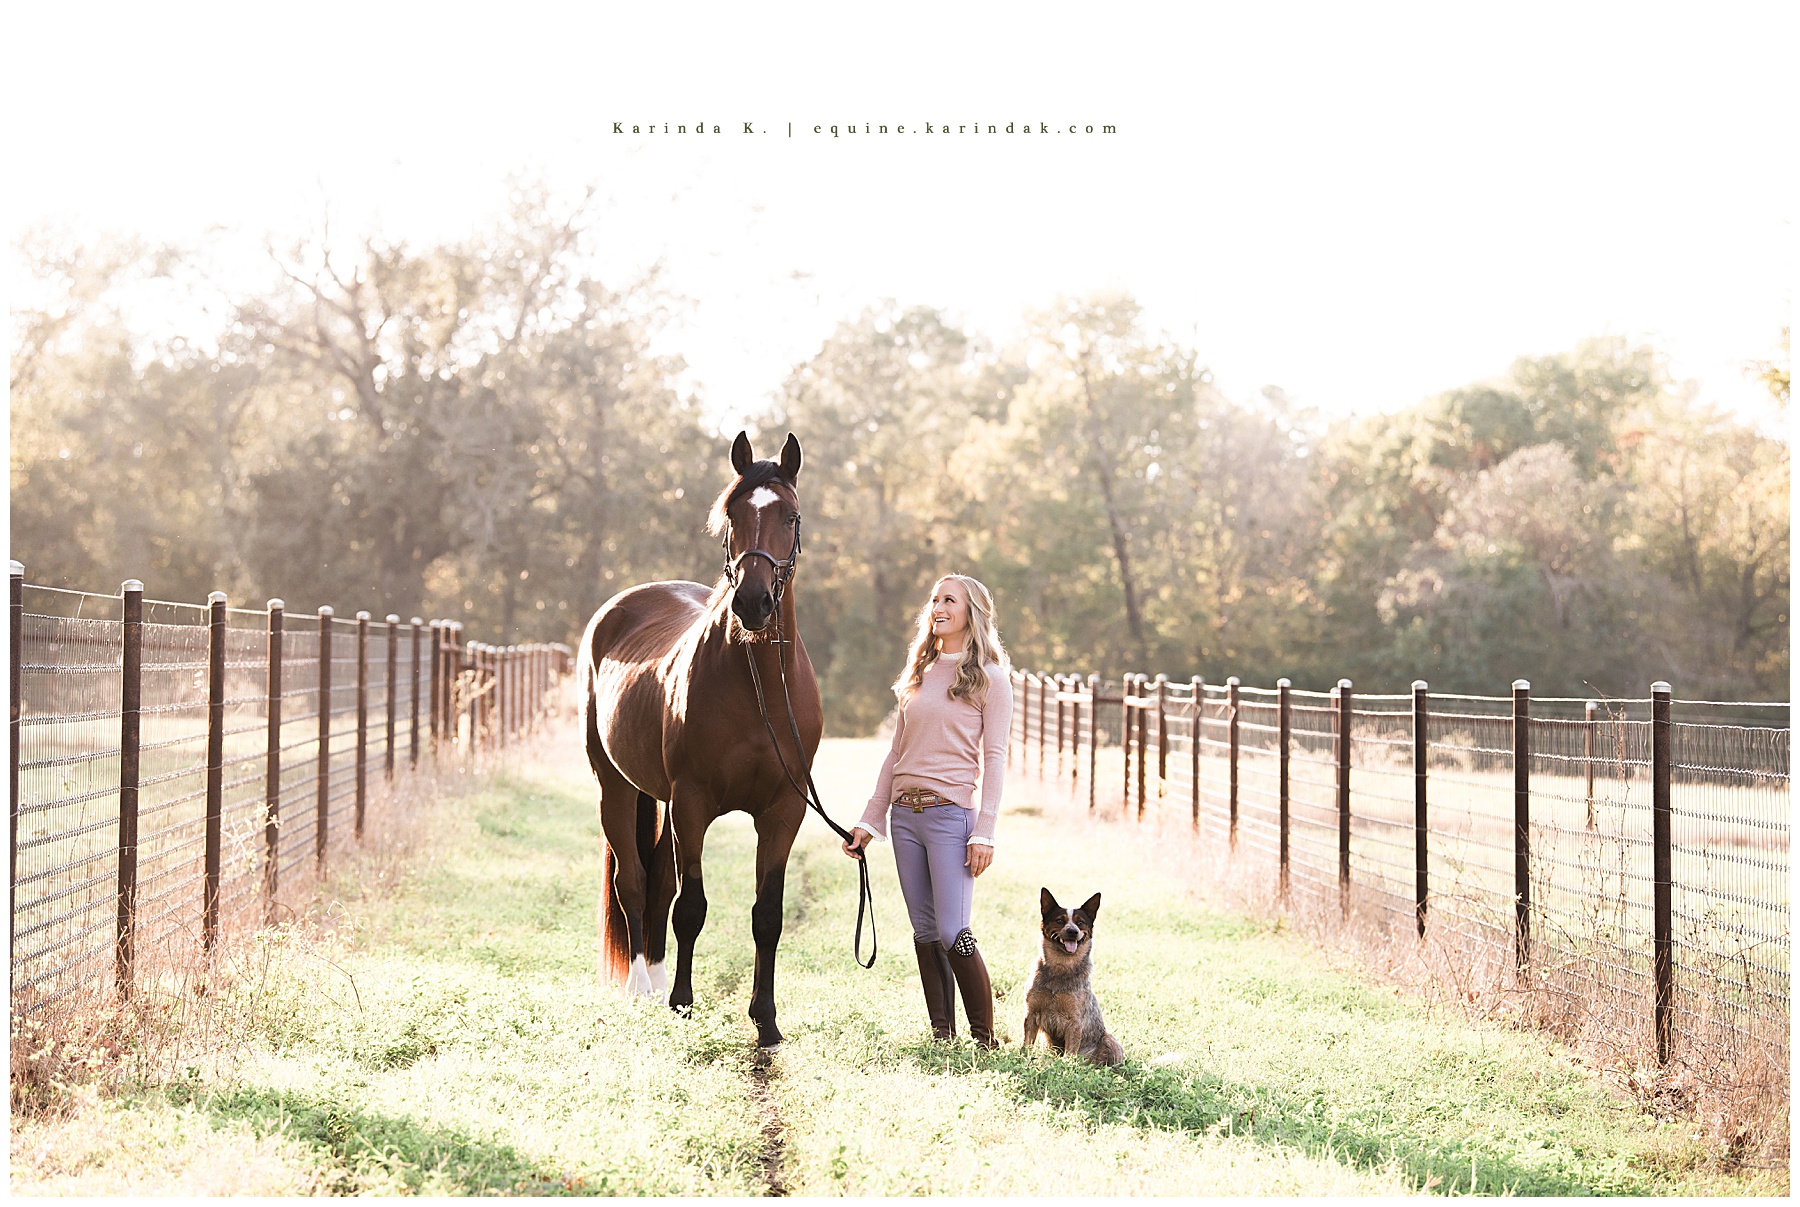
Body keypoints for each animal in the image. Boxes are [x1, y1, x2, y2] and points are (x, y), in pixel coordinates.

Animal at [577, 430, 822, 1047]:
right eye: (732, 515)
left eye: (790, 516)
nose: (753, 603)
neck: (757, 685)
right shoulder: (692, 802)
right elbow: (691, 907)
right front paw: (683, 1003)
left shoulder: (782, 812)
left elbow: (767, 915)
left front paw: (766, 1019)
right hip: (617, 787)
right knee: (635, 884)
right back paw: (644, 988)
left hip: (659, 799)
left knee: (657, 885)